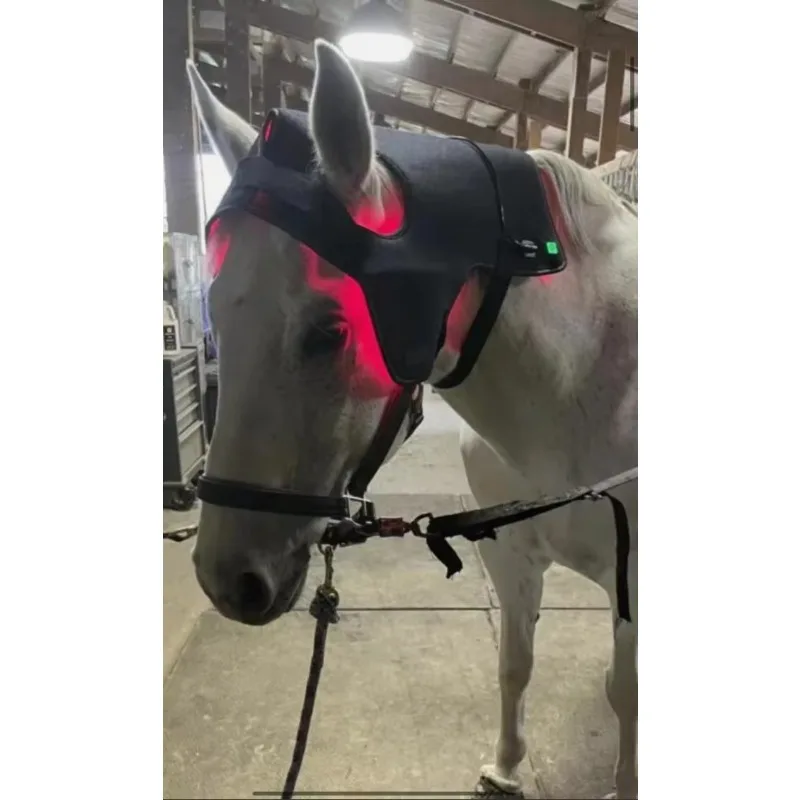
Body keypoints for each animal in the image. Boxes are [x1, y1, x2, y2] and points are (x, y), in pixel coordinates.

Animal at [187, 39, 637, 799]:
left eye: (330, 331)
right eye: (213, 311)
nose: (228, 580)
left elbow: (626, 696)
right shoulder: (511, 555)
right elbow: (514, 664)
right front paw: (504, 768)